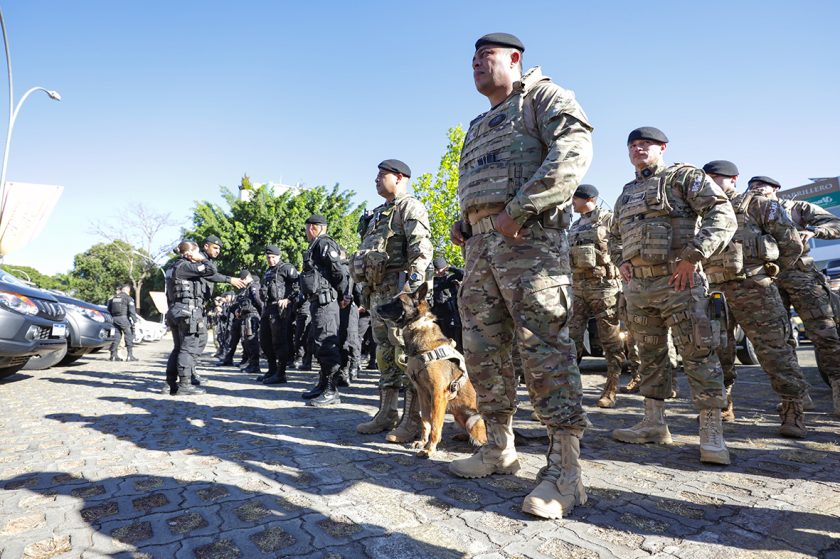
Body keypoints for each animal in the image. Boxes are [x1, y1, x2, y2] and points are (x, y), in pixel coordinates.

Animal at [374, 282, 486, 458]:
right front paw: (422, 442)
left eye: (399, 302)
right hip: (458, 416)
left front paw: (429, 448)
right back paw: (462, 436)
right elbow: (425, 421)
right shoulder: (422, 393)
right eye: (392, 299)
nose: (376, 308)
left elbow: (435, 425)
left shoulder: (438, 394)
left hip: (474, 419)